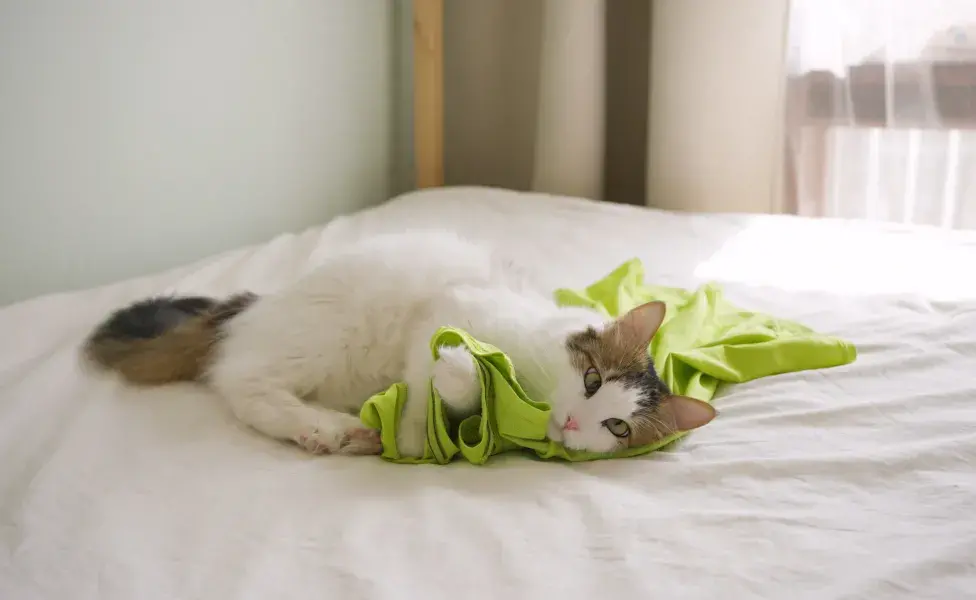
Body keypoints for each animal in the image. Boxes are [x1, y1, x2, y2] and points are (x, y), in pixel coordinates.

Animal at [84, 232, 712, 458]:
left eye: (618, 427)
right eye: (591, 380)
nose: (576, 423)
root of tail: (258, 303)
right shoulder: (440, 312)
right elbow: (431, 379)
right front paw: (418, 426)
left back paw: (347, 434)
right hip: (320, 342)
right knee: (245, 387)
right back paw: (329, 430)